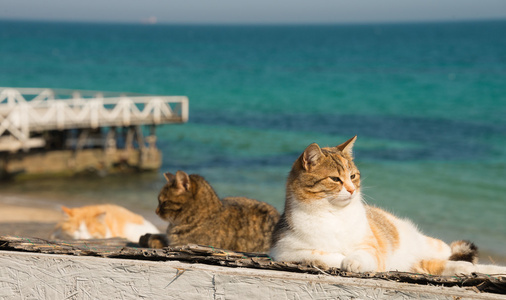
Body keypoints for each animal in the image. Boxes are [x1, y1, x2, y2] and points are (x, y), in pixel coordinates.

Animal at [138, 170, 280, 252]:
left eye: (164, 202)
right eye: (159, 201)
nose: (156, 211)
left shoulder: (183, 244)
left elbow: (165, 242)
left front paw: (151, 240)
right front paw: (147, 236)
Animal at [270, 137, 506, 276]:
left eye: (353, 176)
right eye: (335, 179)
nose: (351, 190)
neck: (335, 215)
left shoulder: (370, 247)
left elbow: (362, 255)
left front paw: (352, 261)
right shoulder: (284, 251)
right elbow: (322, 254)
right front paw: (340, 258)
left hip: (432, 245)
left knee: (453, 256)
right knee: (437, 266)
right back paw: (464, 269)